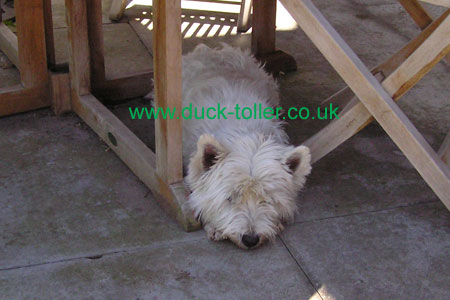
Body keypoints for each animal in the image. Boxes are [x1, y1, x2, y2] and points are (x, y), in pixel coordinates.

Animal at [181, 44, 312, 250]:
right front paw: (214, 227)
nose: (250, 239)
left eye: (267, 199)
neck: (245, 136)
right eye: (230, 198)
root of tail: (212, 49)